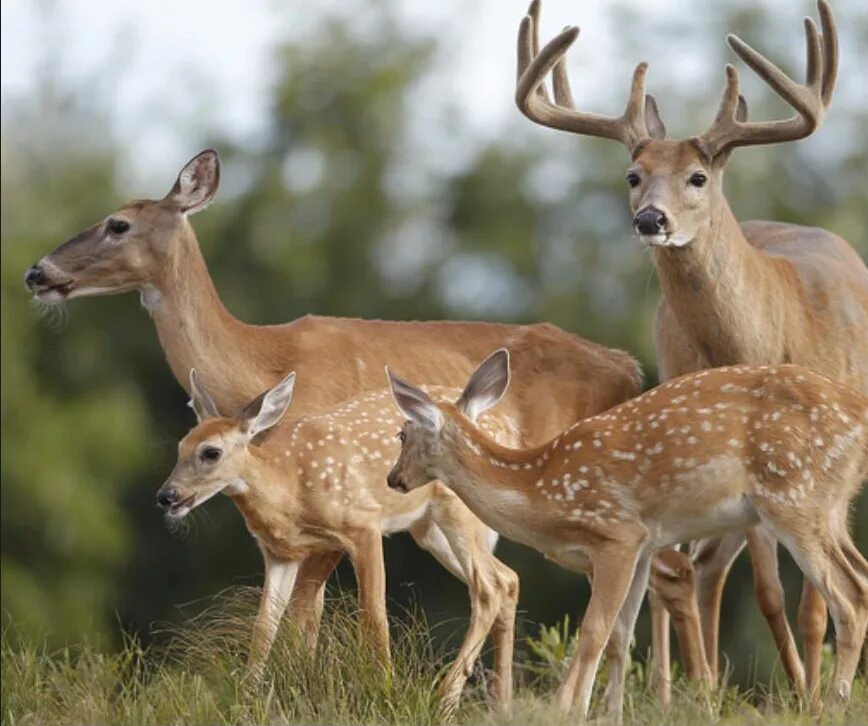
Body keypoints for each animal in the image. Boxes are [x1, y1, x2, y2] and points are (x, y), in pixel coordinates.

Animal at [157, 372, 524, 712]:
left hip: (459, 511)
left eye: (211, 452)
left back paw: (446, 700)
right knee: (508, 578)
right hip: (428, 528)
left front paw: (384, 693)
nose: (166, 495)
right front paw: (246, 699)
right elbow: (265, 626)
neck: (289, 488)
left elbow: (373, 615)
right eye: (180, 448)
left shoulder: (363, 524)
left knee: (488, 586)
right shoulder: (281, 553)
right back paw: (500, 704)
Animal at [388, 352, 868, 724]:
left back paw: (834, 706)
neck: (542, 491)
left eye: (402, 433)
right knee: (861, 579)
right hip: (831, 508)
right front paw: (607, 715)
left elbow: (593, 631)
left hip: (793, 499)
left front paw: (565, 710)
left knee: (848, 598)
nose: (394, 479)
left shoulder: (616, 533)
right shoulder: (644, 545)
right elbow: (621, 638)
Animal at [516, 0, 868, 704]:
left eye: (698, 176)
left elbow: (806, 600)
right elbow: (753, 586)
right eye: (633, 175)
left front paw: (814, 695)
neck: (768, 334)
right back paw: (691, 687)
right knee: (703, 571)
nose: (650, 219)